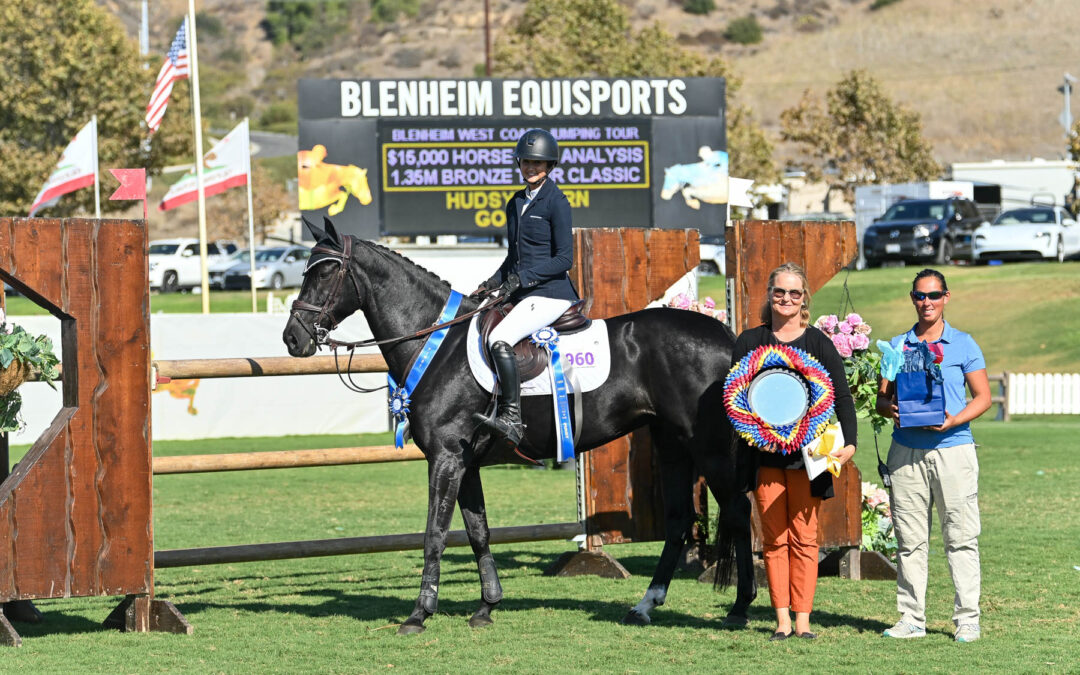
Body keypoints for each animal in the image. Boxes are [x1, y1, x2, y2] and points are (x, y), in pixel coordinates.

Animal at [282, 220, 756, 630]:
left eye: (326, 271)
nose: (293, 338)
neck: (436, 342)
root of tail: (725, 336)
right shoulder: (465, 462)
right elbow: (477, 532)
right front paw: (487, 607)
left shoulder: (445, 458)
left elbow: (435, 533)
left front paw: (419, 614)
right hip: (672, 444)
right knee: (679, 521)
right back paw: (645, 606)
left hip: (708, 449)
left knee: (737, 510)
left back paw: (739, 607)